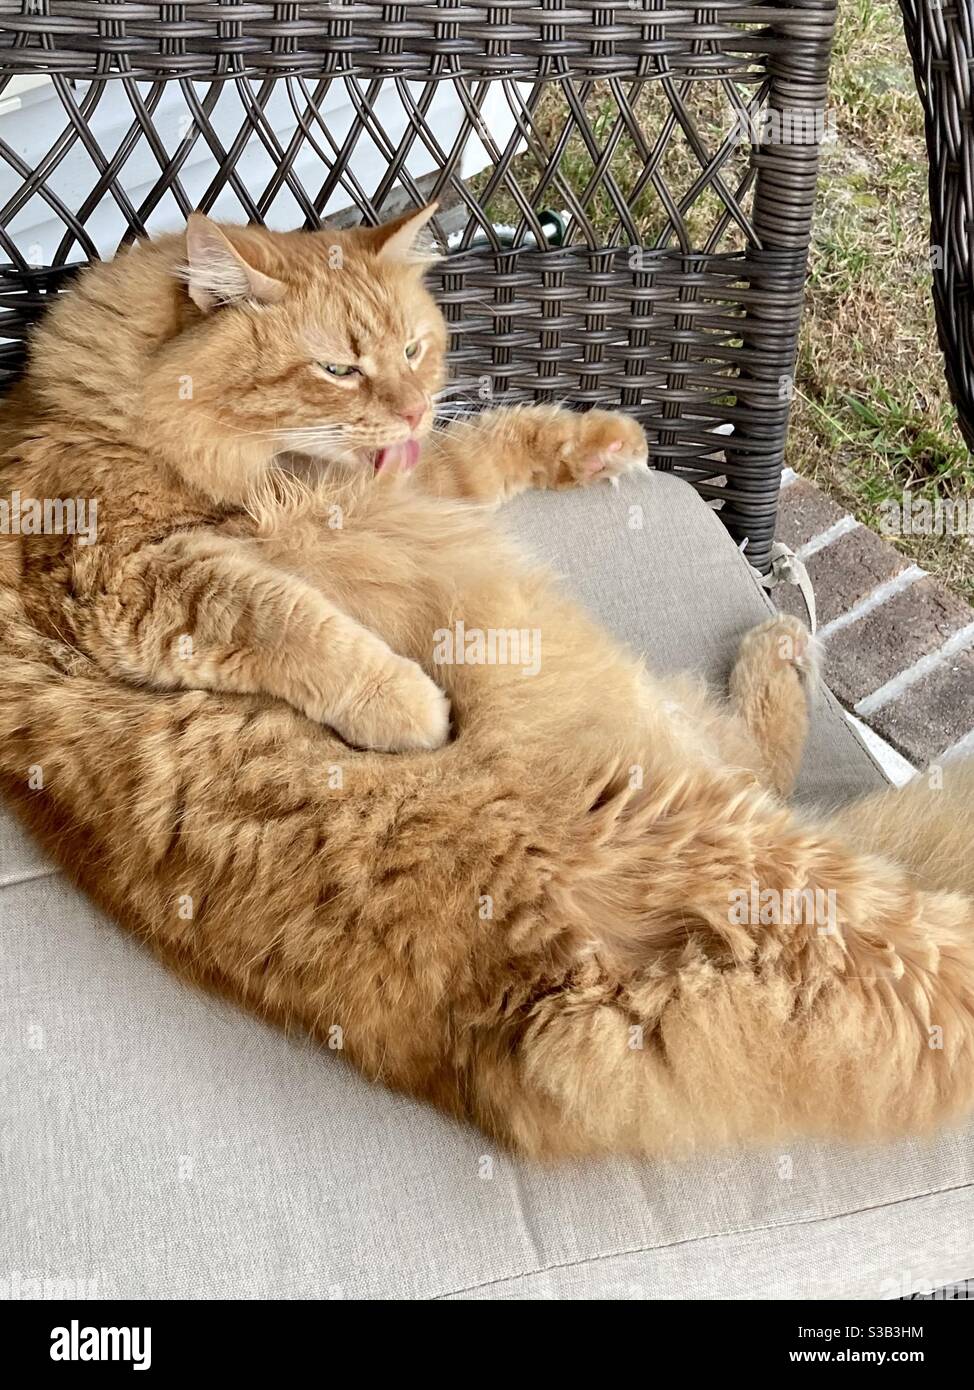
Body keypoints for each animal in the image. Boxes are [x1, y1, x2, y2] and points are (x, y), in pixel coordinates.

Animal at [1, 208, 972, 1162]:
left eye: (414, 349)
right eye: (338, 369)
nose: (411, 404)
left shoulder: (405, 474)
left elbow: (483, 443)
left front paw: (598, 439)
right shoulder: (121, 573)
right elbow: (285, 619)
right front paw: (413, 709)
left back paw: (781, 643)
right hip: (772, 854)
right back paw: (783, 646)